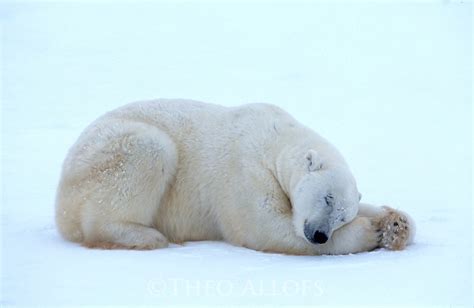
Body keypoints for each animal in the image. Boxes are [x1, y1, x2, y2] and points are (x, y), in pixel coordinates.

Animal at [56, 100, 414, 254]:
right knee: (147, 152)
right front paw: (371, 231)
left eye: (341, 215)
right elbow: (264, 226)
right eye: (327, 198)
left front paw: (395, 223)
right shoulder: (245, 168)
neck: (276, 140)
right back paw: (146, 236)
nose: (320, 235)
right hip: (107, 157)